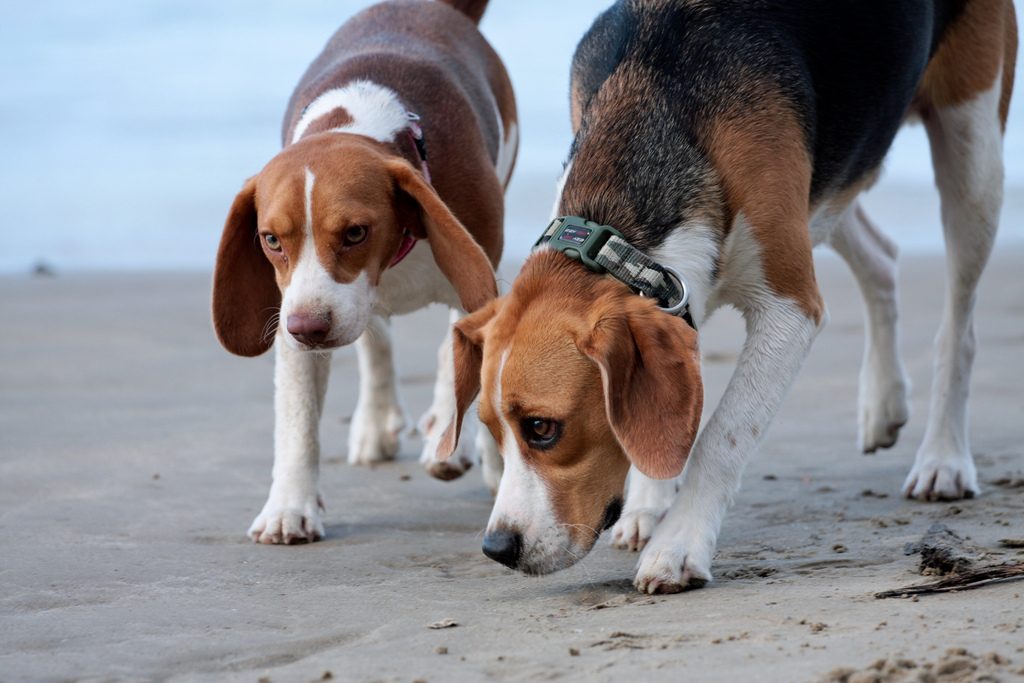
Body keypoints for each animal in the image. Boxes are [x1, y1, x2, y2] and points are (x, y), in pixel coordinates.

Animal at [211, 0, 516, 544]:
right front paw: (289, 507)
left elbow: (460, 366)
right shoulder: (295, 316)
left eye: (355, 232)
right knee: (376, 342)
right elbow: (298, 423)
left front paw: (471, 450)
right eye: (271, 240)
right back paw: (376, 422)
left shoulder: (477, 285)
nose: (308, 328)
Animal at [432, 0, 1015, 589]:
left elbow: (722, 435)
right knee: (882, 258)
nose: (497, 548)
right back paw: (884, 402)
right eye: (490, 430)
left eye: (542, 429)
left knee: (958, 327)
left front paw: (678, 544)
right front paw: (649, 504)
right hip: (832, 185)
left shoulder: (791, 307)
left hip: (972, 155)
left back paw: (943, 459)